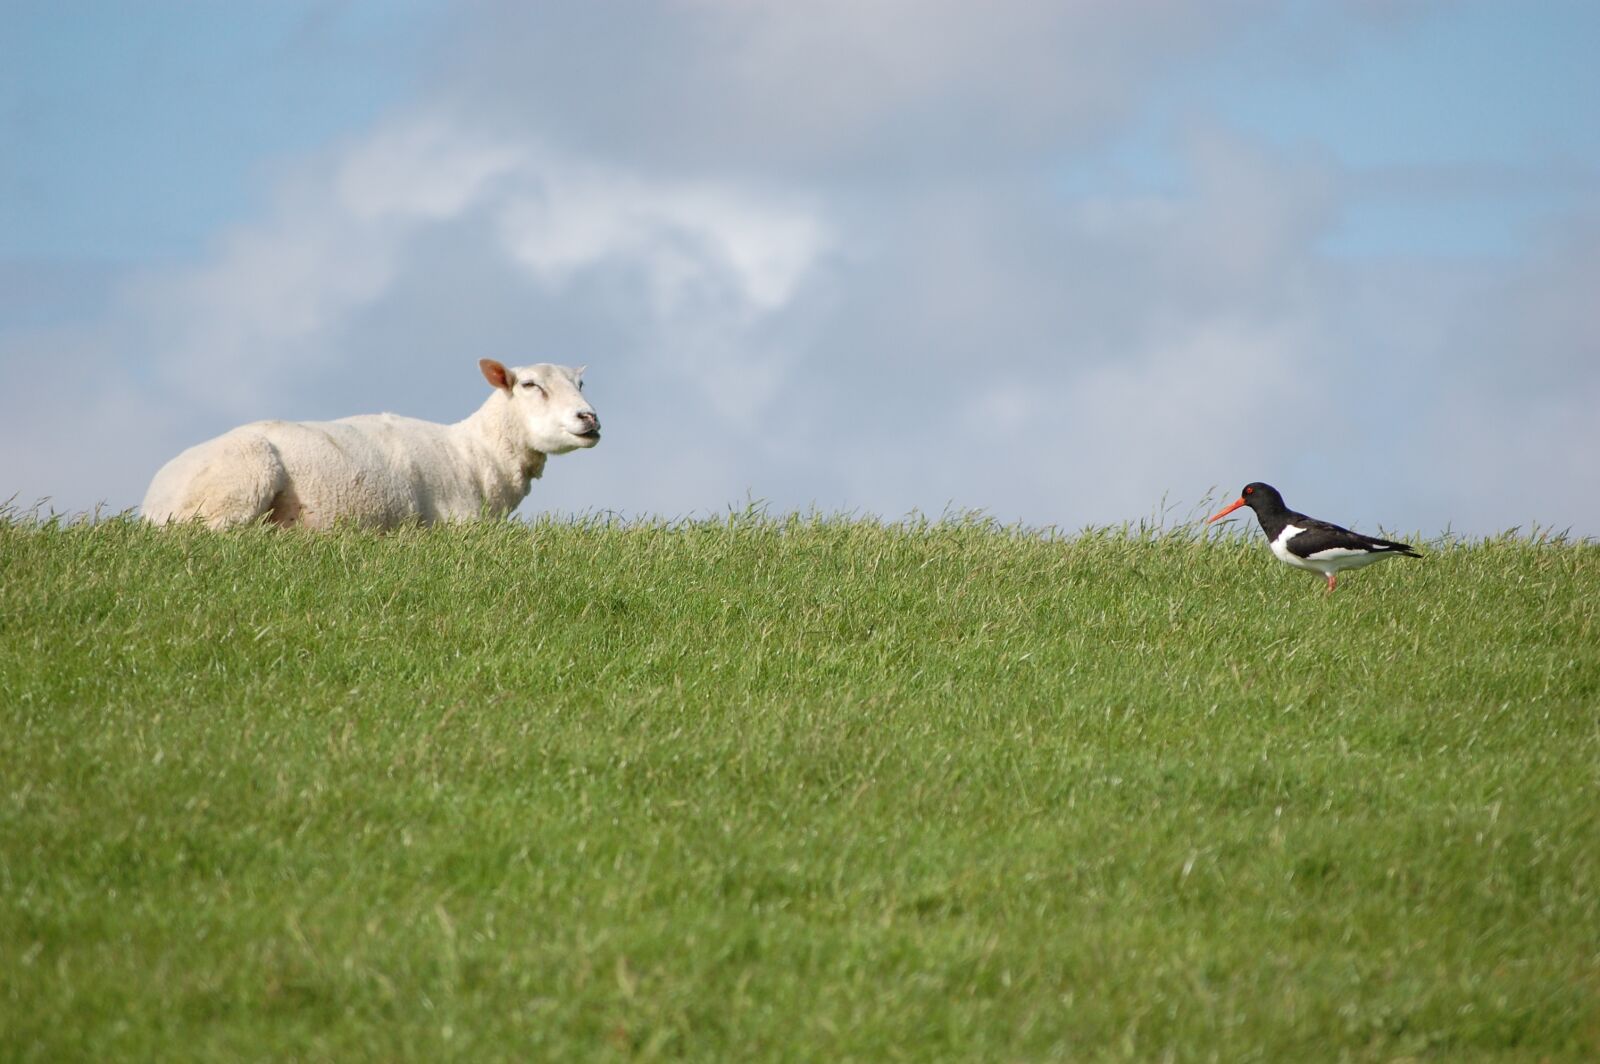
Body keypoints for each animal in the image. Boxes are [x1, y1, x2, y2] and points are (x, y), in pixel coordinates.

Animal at [141, 360, 600, 529]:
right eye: (530, 385)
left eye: (580, 385)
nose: (590, 418)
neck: (475, 454)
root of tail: (152, 501)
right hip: (240, 480)